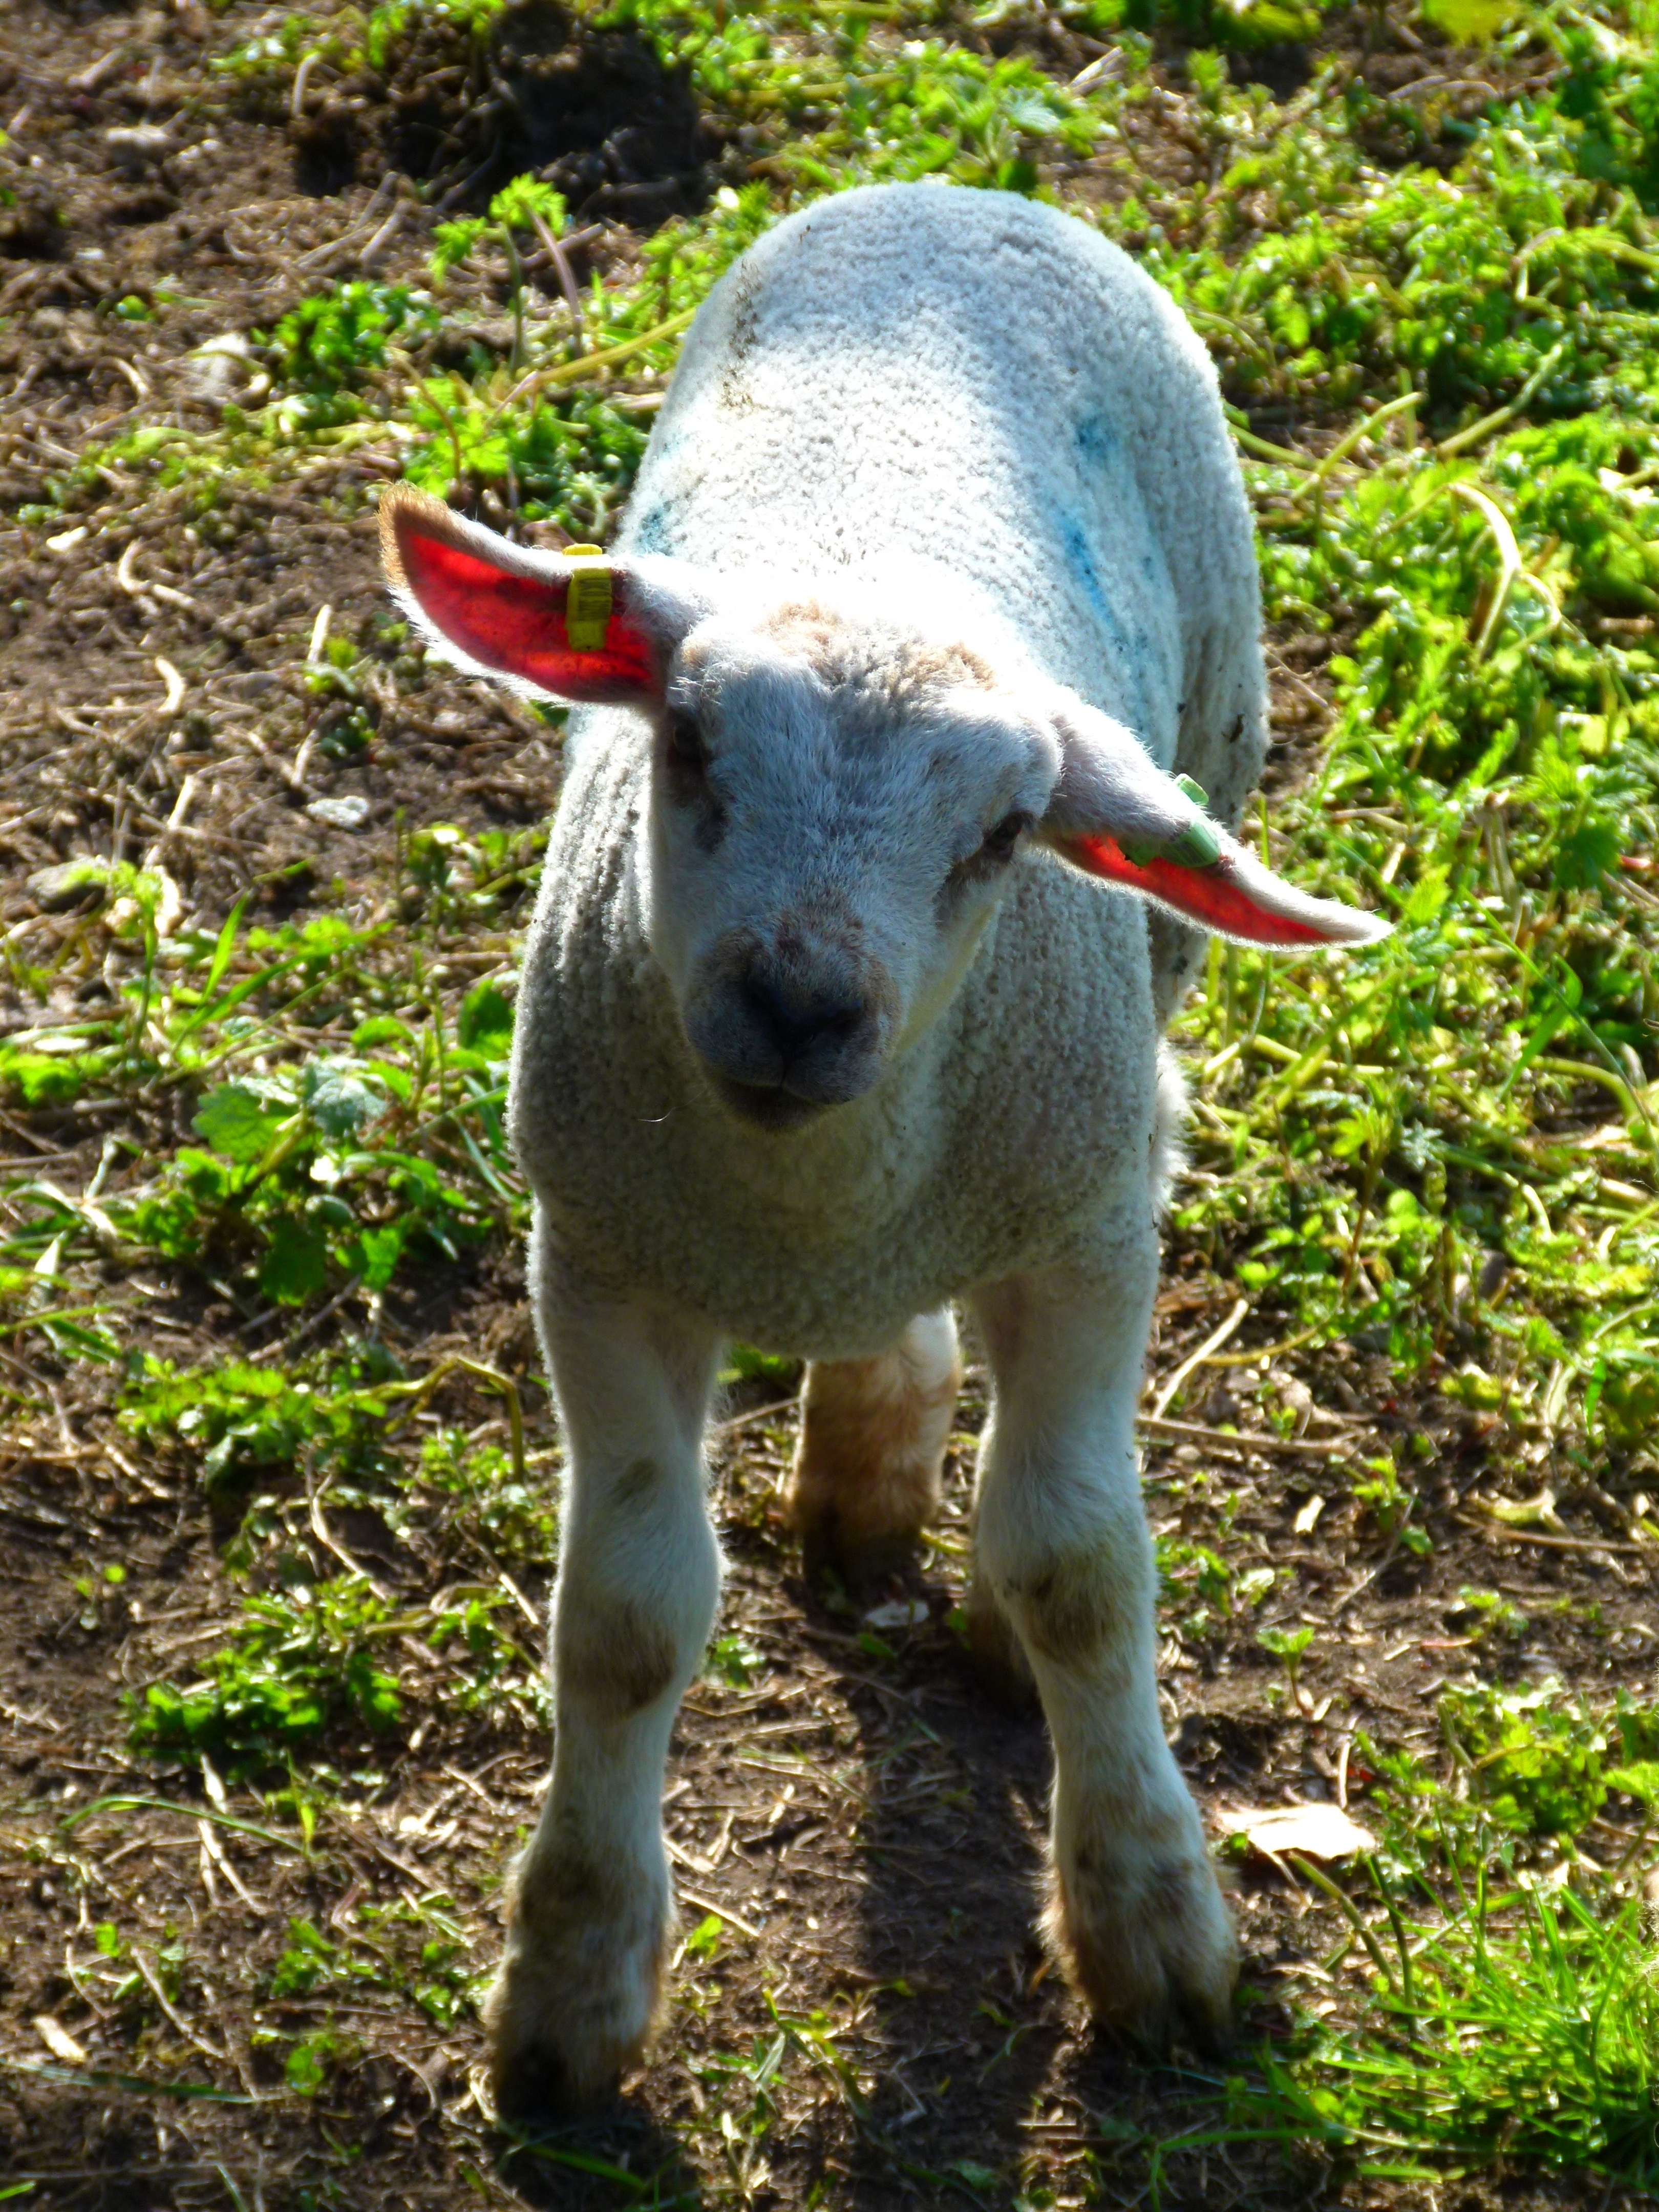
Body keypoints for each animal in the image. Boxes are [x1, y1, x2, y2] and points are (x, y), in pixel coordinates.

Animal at [378, 179, 1388, 2116]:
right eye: (690, 744)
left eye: (1002, 836)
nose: (799, 1002)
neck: (808, 1194)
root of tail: (953, 190)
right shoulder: (597, 1250)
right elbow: (624, 1620)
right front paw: (572, 1991)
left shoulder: (1089, 1218)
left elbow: (1083, 1568)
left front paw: (1153, 1927)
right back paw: (866, 1459)